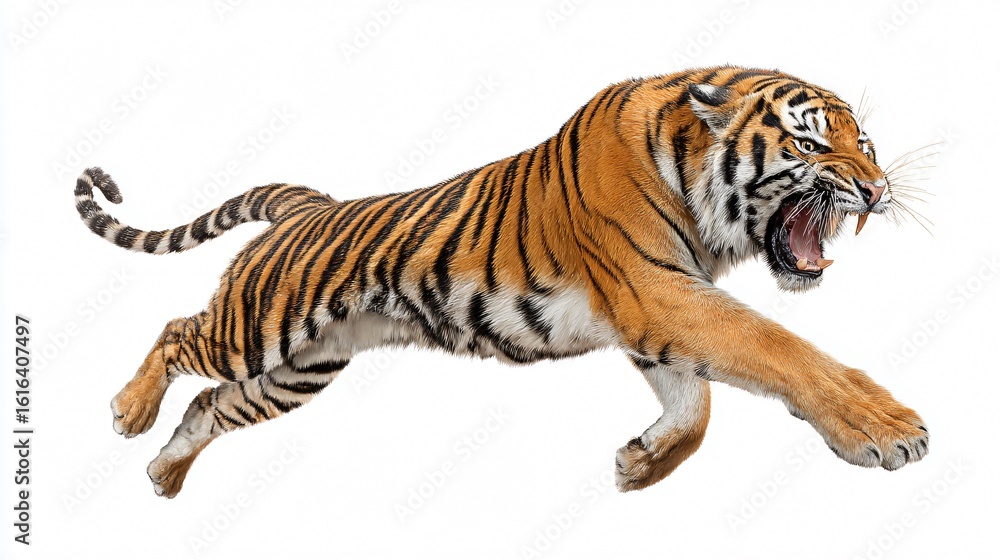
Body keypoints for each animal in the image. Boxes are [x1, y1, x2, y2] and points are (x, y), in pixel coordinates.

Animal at [75, 65, 928, 499]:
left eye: (866, 143)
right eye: (811, 143)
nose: (878, 189)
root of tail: (311, 205)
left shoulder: (652, 314)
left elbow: (697, 404)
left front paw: (639, 464)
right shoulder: (660, 292)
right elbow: (779, 348)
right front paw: (886, 429)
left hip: (300, 370)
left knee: (209, 405)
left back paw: (163, 474)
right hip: (258, 326)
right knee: (176, 335)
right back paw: (127, 413)